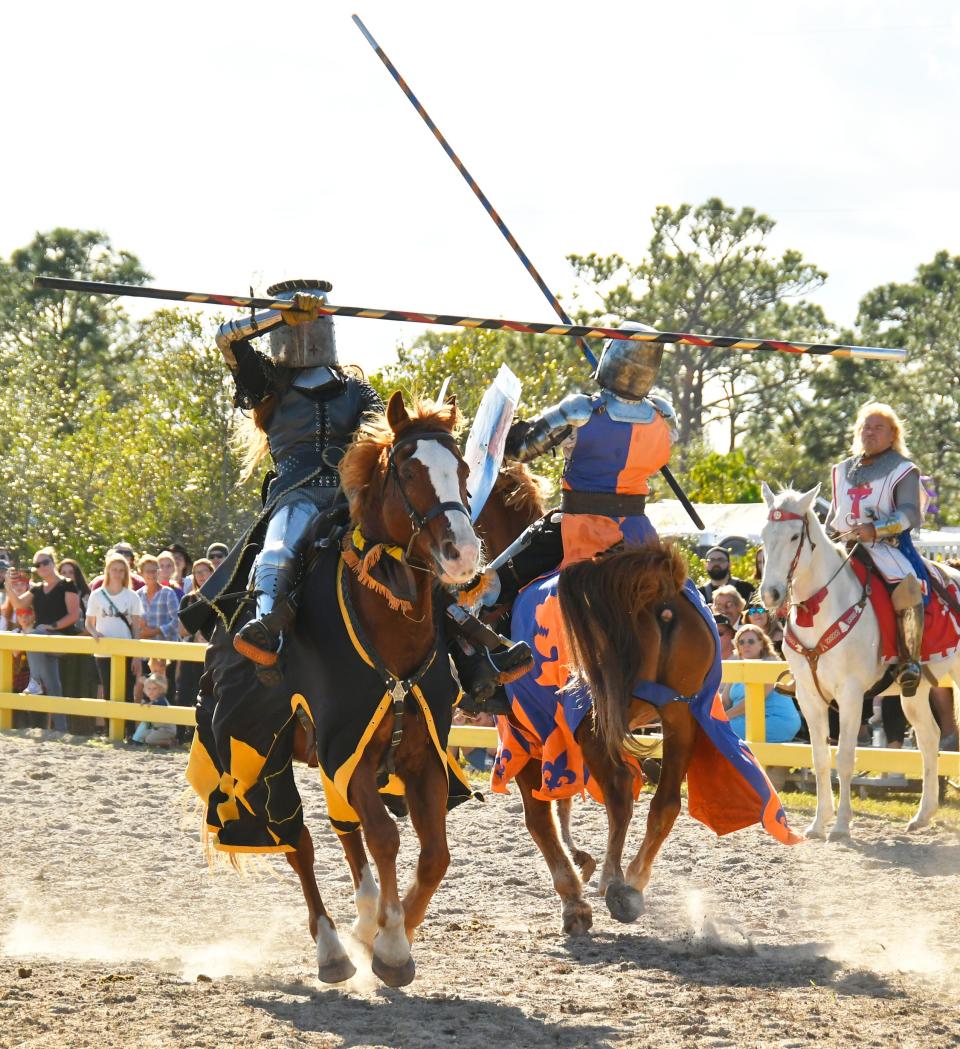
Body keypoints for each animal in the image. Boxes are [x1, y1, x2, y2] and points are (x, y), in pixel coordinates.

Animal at [763, 486, 956, 839]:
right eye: (764, 534)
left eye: (795, 536)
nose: (770, 594)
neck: (821, 609)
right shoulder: (809, 697)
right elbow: (819, 757)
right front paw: (818, 822)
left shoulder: (850, 695)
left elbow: (845, 758)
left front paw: (840, 825)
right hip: (915, 689)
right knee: (929, 737)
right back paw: (923, 815)